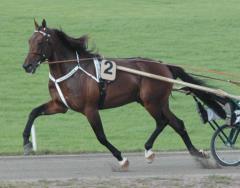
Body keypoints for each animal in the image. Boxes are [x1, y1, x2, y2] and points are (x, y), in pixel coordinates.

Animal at [22, 19, 223, 169]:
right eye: (29, 40)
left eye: (40, 42)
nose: (27, 66)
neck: (72, 70)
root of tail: (163, 65)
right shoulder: (60, 105)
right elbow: (33, 112)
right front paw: (26, 142)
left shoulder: (90, 109)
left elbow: (101, 137)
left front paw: (121, 159)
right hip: (158, 101)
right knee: (177, 123)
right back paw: (198, 154)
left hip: (151, 102)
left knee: (162, 122)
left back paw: (149, 151)